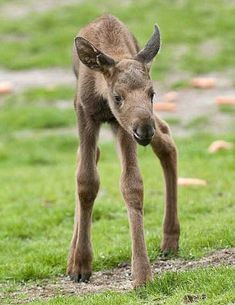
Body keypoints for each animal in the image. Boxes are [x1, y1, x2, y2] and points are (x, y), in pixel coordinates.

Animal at [67, 13, 181, 284]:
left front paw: (142, 274)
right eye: (118, 96)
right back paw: (71, 255)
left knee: (165, 138)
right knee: (86, 157)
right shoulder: (85, 113)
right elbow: (86, 181)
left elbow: (132, 185)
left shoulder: (124, 127)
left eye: (152, 93)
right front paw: (81, 264)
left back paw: (170, 237)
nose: (144, 130)